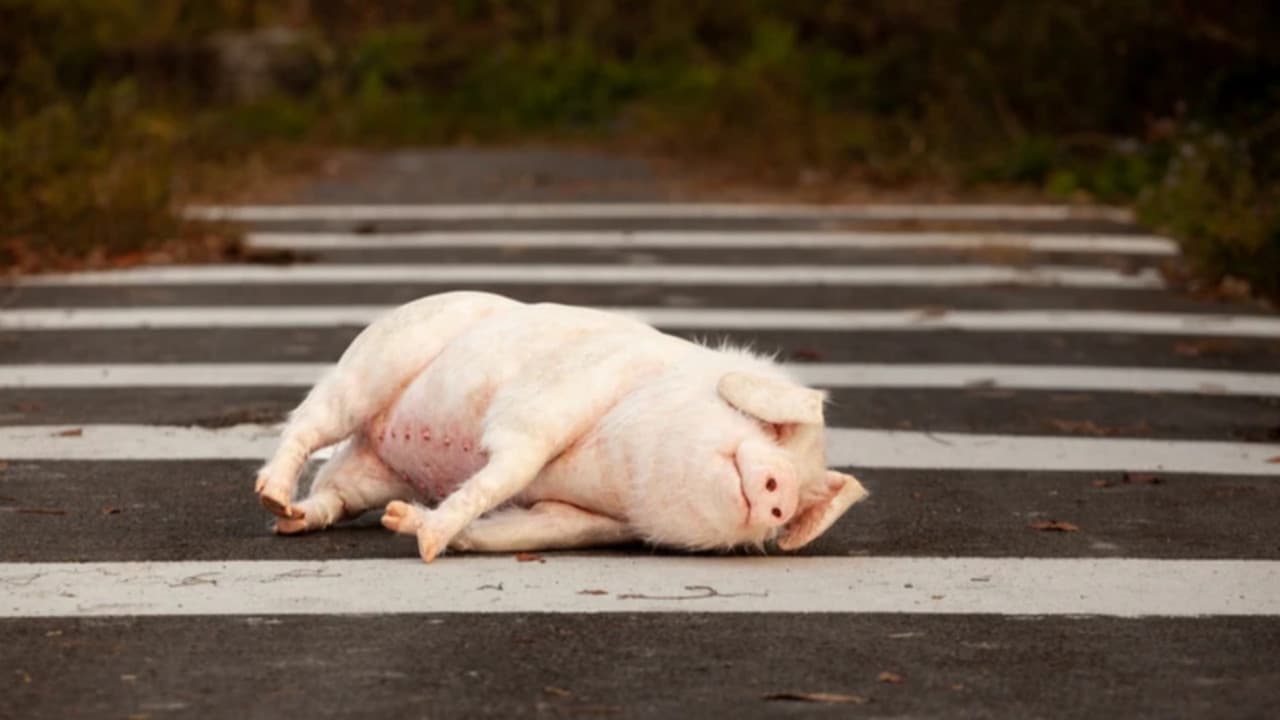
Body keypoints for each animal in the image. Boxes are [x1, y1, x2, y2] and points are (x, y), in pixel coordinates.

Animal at [254, 291, 867, 562]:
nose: (782, 492)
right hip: (372, 364)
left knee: (334, 495)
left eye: (806, 490)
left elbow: (523, 529)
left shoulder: (592, 521)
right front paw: (427, 545)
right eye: (775, 430)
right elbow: (508, 467)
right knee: (308, 423)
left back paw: (291, 520)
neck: (618, 469)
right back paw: (271, 495)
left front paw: (407, 526)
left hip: (371, 471)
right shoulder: (553, 400)